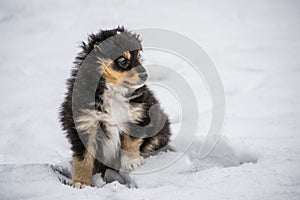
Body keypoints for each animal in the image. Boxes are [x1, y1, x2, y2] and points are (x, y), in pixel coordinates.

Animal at [59, 26, 171, 188]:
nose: (145, 75)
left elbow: (131, 140)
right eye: (123, 61)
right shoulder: (83, 124)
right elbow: (83, 158)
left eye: (139, 56)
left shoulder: (138, 113)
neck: (112, 91)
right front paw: (81, 182)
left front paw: (131, 163)